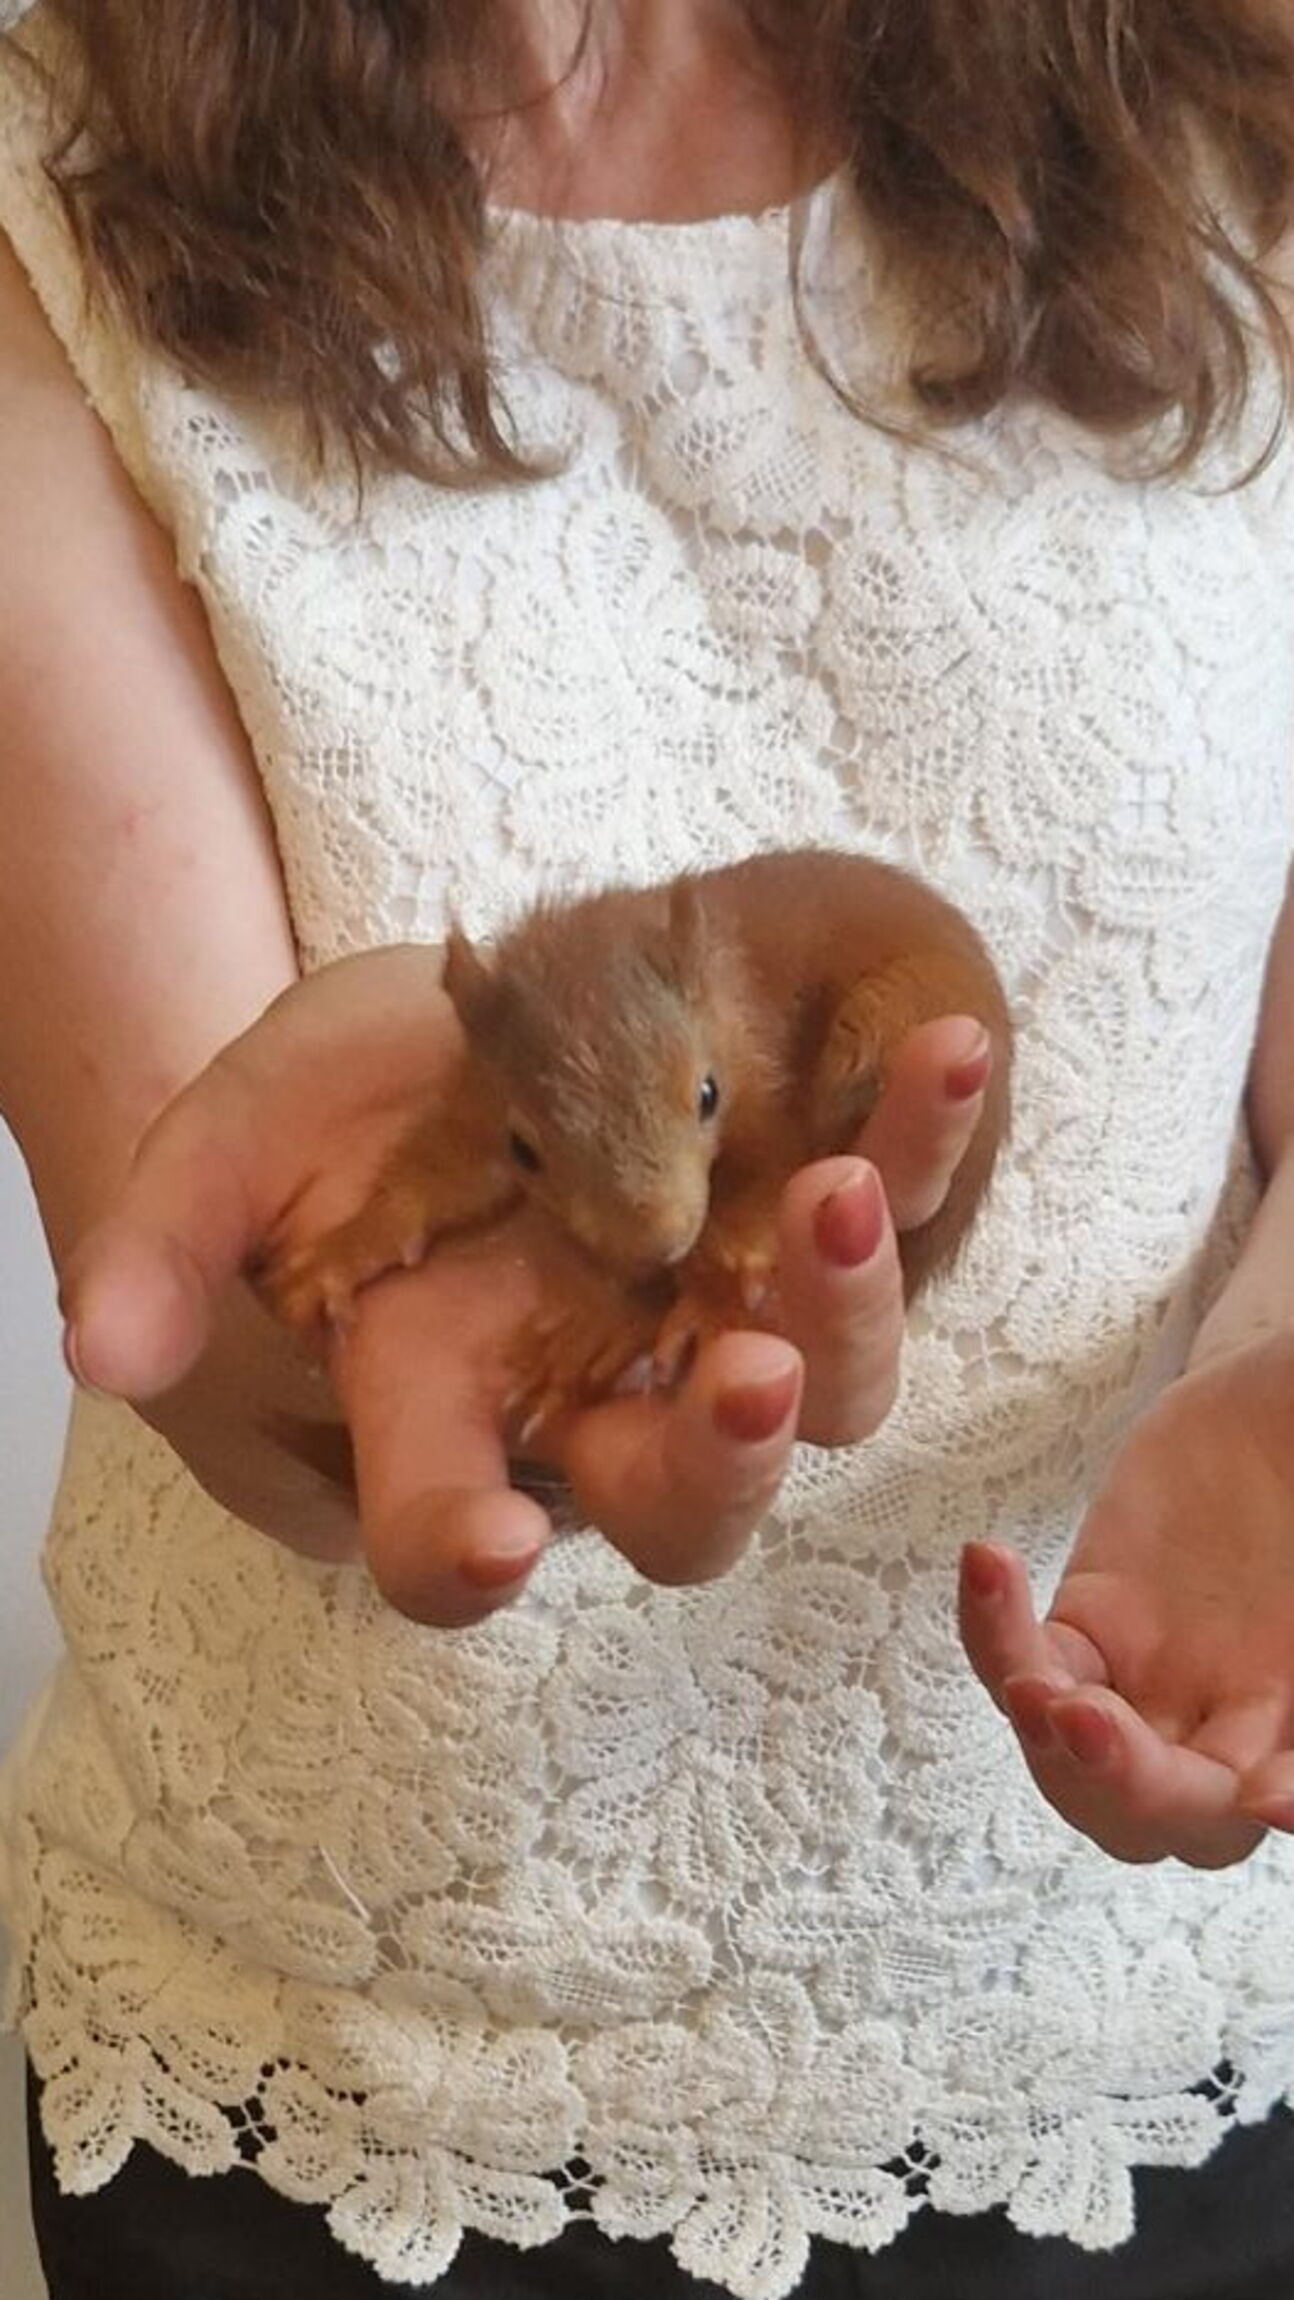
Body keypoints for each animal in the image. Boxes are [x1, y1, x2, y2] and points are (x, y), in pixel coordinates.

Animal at [256, 848, 1012, 1437]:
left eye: (707, 1095)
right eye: (525, 1149)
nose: (658, 1246)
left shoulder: (769, 1098)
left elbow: (756, 1199)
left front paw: (694, 1304)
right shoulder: (480, 1097)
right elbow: (439, 1174)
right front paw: (348, 1248)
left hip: (894, 1024)